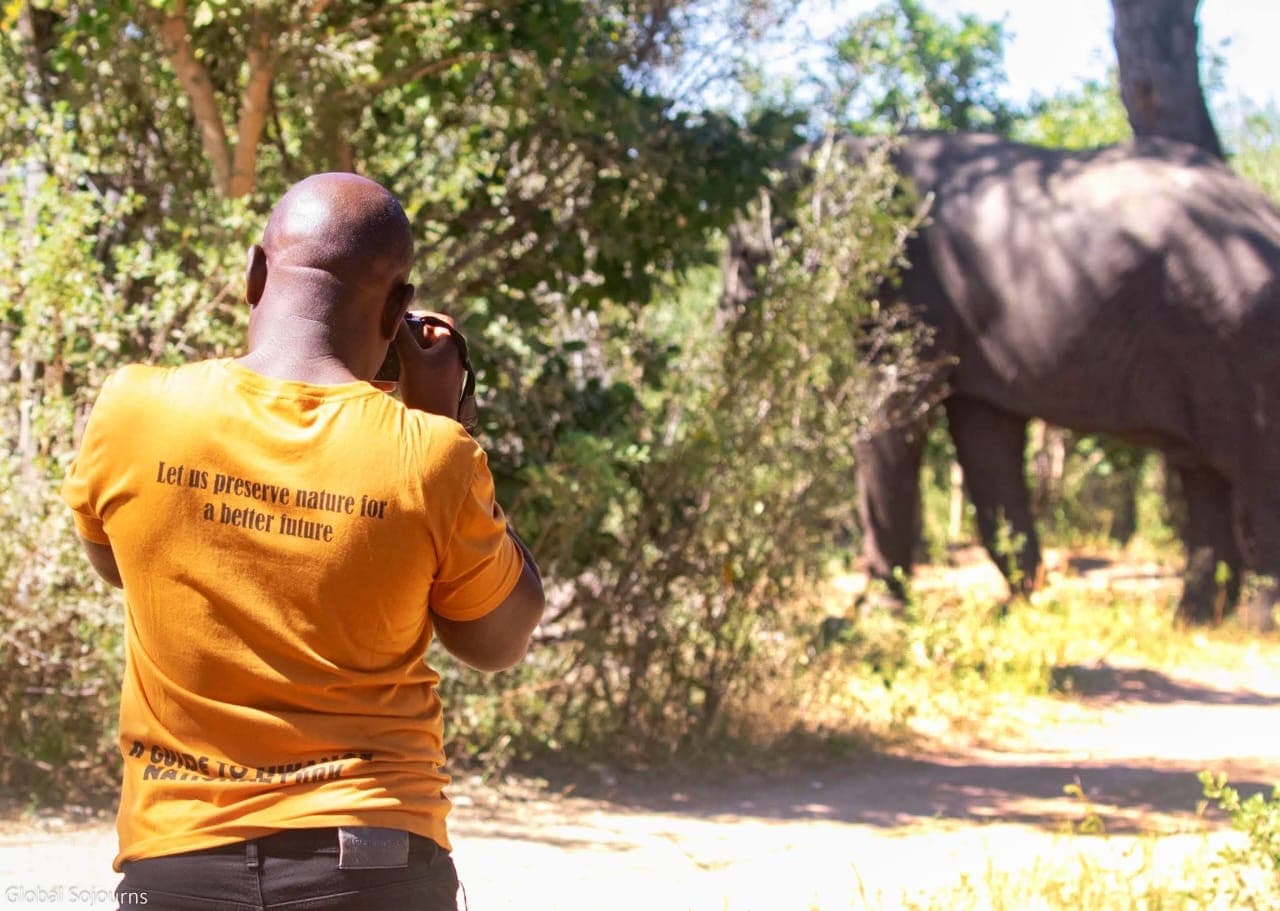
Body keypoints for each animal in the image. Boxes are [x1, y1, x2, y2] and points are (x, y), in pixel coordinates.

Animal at [724, 131, 1280, 626]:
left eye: (746, 255)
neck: (857, 146)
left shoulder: (909, 285)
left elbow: (894, 411)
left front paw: (870, 618)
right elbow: (985, 439)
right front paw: (1012, 611)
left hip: (1243, 340)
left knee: (1254, 470)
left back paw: (1256, 625)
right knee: (1203, 475)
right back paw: (1194, 622)